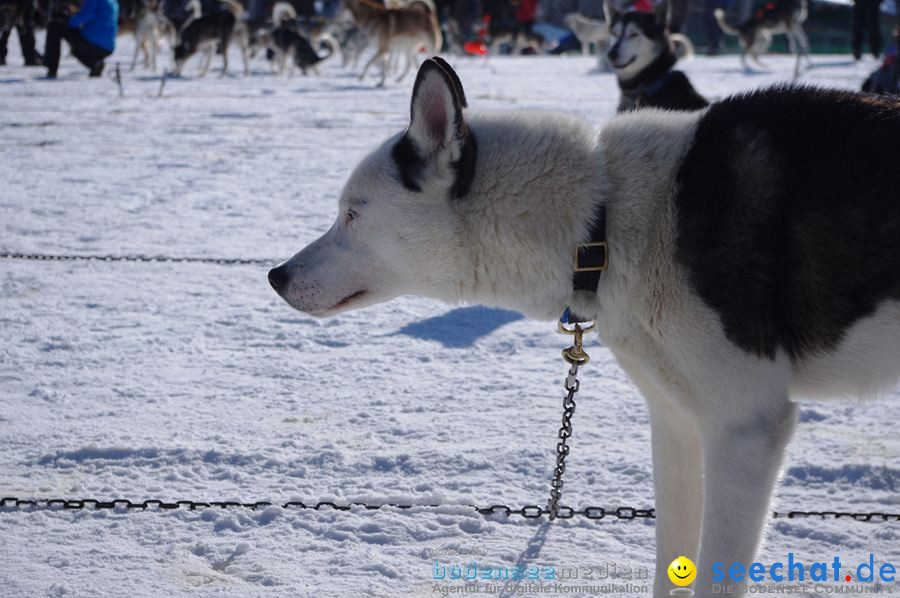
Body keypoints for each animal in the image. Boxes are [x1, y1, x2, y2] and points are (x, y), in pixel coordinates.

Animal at [268, 58, 900, 598]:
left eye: (353, 214)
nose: (276, 275)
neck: (605, 219)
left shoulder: (746, 430)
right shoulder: (678, 421)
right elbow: (675, 558)